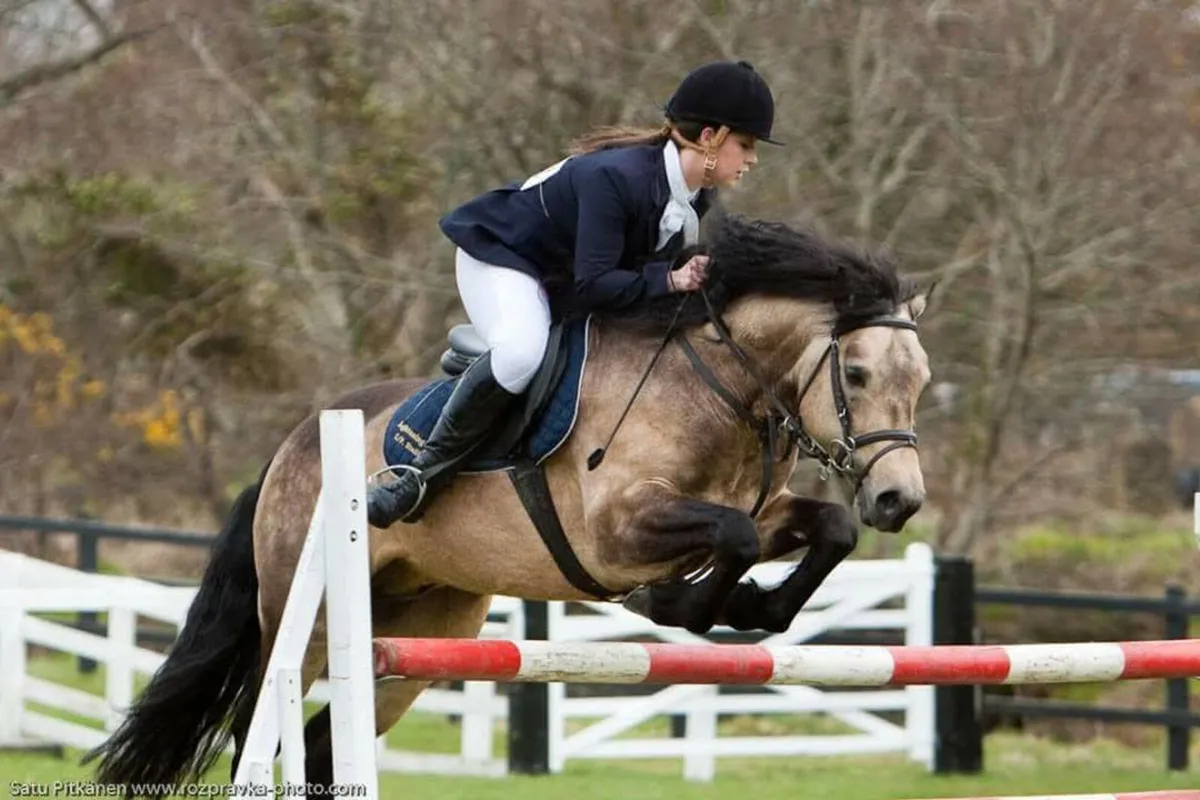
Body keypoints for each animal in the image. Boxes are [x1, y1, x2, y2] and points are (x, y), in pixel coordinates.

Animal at [83, 213, 934, 795]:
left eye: (921, 378)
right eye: (855, 373)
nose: (899, 500)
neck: (718, 390)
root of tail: (292, 446)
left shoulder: (756, 508)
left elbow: (822, 528)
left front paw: (756, 609)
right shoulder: (615, 533)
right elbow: (732, 542)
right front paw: (678, 604)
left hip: (427, 630)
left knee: (326, 745)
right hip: (306, 615)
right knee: (259, 734)